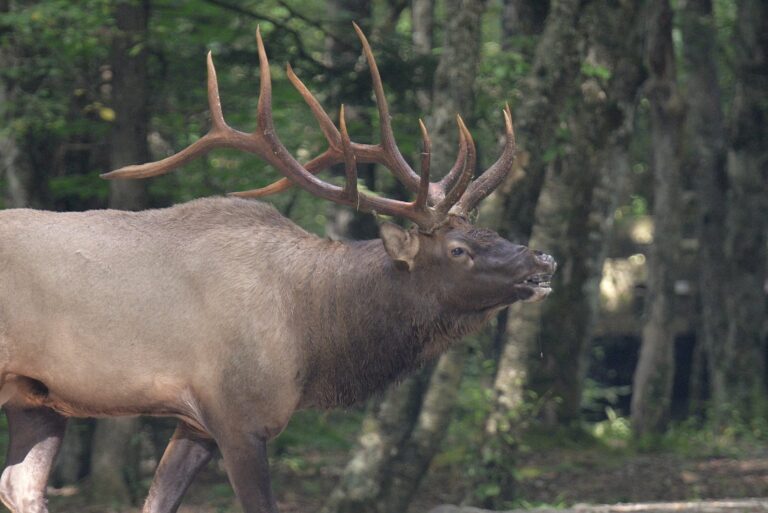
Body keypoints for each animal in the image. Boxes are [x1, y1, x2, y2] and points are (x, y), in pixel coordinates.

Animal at [0, 24, 555, 513]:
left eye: (490, 232)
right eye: (459, 249)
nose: (541, 259)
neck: (314, 335)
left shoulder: (196, 423)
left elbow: (157, 501)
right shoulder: (238, 413)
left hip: (37, 399)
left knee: (21, 487)